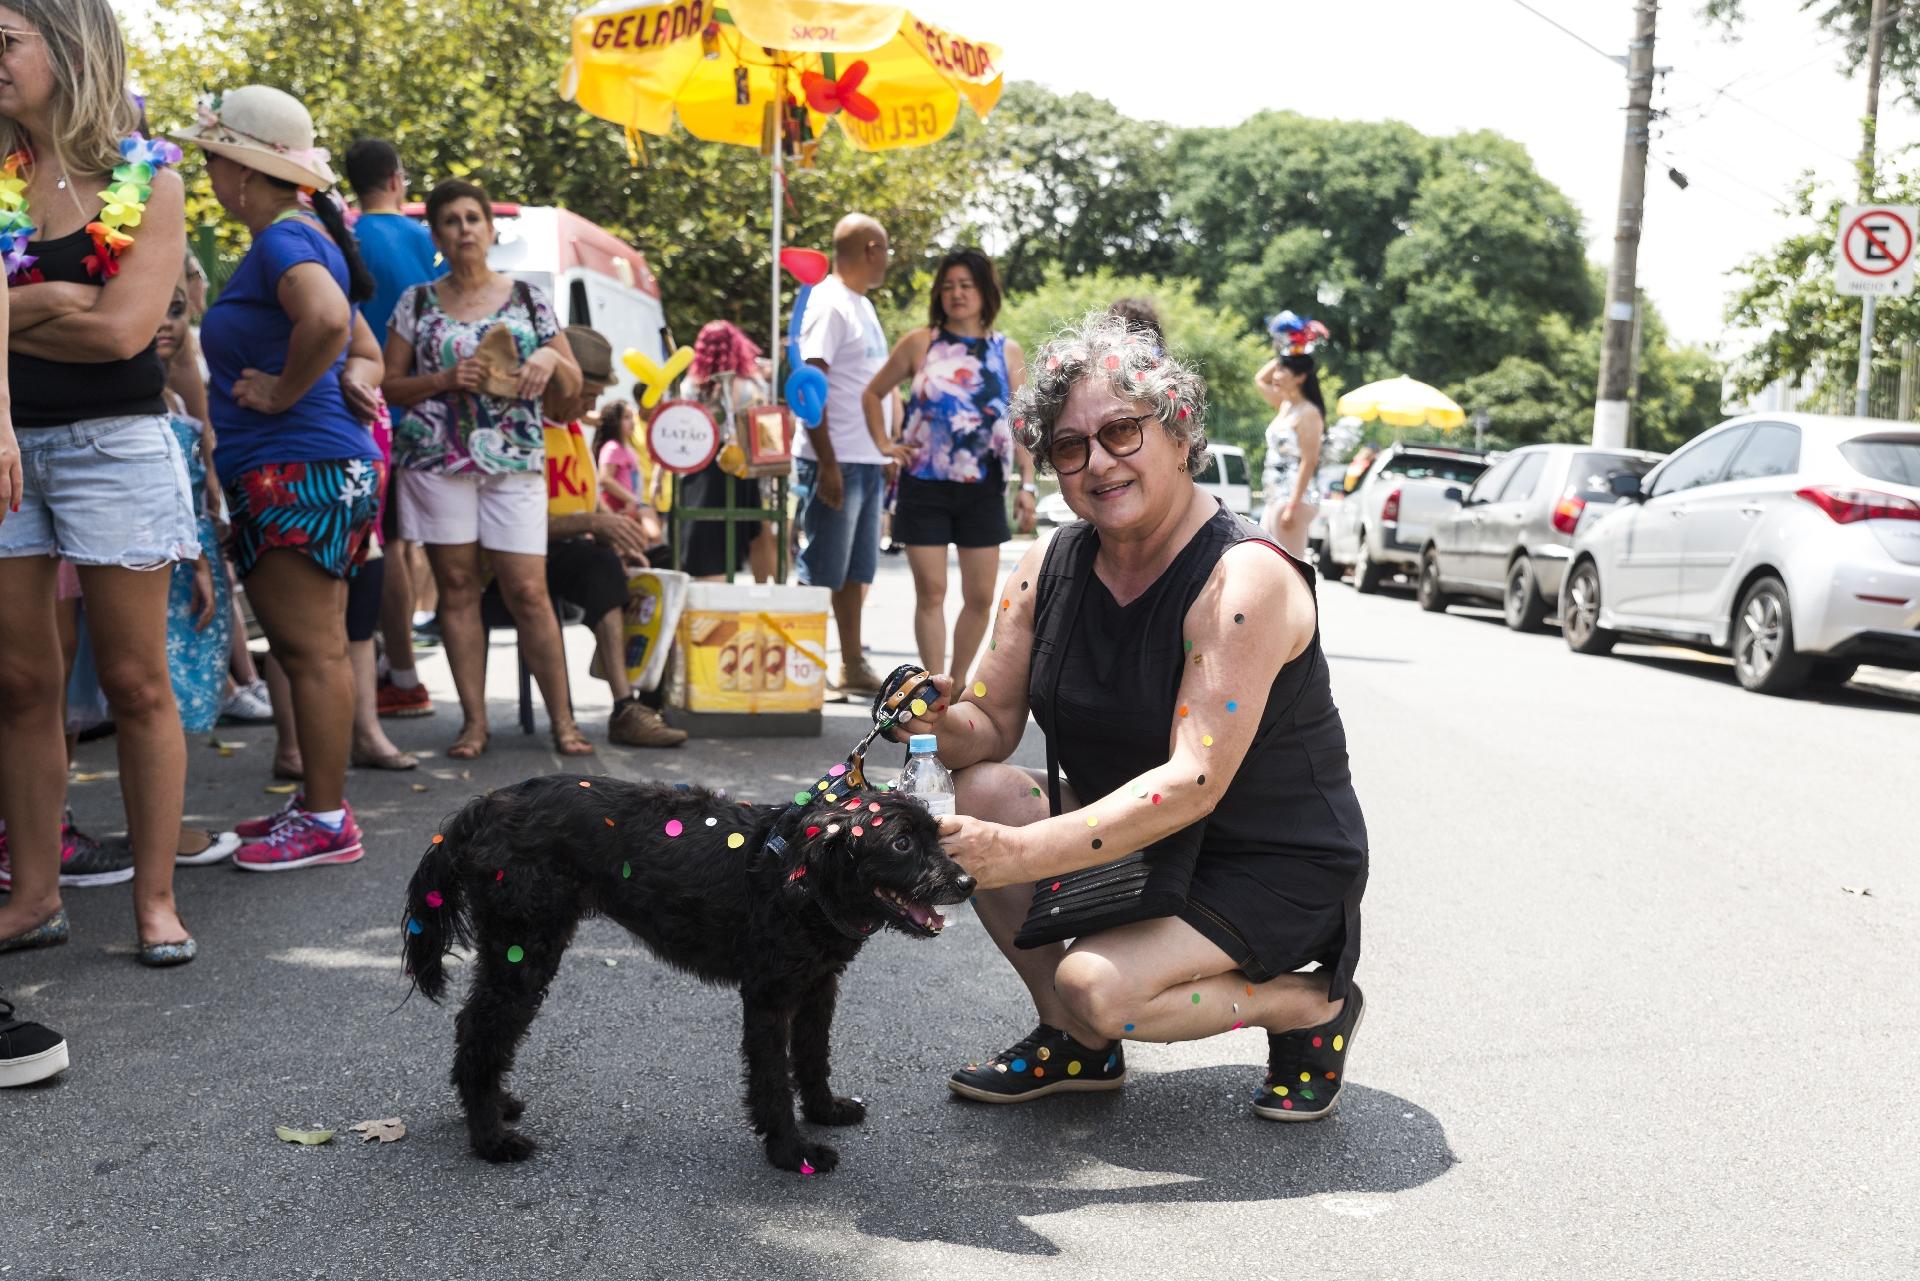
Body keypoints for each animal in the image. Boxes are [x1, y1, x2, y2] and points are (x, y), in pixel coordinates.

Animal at [405, 772, 975, 1175]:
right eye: (901, 844)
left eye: (937, 835)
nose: (967, 882)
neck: (806, 880)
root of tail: (485, 806)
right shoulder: (768, 998)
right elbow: (772, 1081)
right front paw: (791, 1153)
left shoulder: (818, 987)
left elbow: (813, 1058)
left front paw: (824, 1111)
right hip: (524, 952)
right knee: (481, 1030)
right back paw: (489, 1140)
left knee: (477, 1028)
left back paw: (494, 1106)